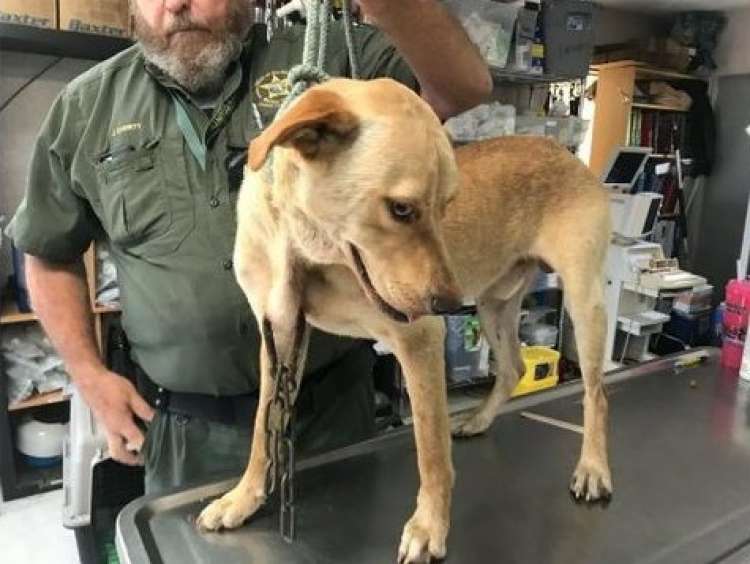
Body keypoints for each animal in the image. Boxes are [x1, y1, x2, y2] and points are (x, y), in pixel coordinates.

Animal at [195, 78, 612, 563]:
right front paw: (243, 497)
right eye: (400, 209)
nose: (448, 303)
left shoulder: (419, 340)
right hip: (494, 305)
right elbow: (263, 428)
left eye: (446, 206)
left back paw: (593, 469)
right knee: (512, 367)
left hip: (583, 301)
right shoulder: (279, 333)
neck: (305, 248)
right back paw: (479, 420)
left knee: (596, 394)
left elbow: (431, 452)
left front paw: (429, 527)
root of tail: (562, 151)